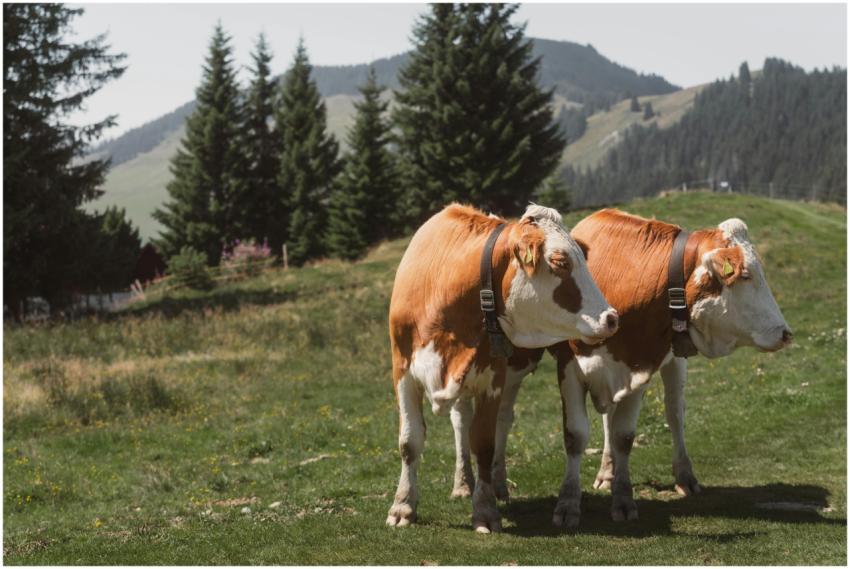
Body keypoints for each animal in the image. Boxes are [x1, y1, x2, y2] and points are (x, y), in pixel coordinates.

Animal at [386, 203, 620, 533]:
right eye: (560, 261)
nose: (611, 318)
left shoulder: (492, 378)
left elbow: (484, 443)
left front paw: (485, 510)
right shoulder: (402, 371)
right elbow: (410, 441)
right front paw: (403, 506)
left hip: (512, 374)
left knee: (502, 421)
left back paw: (496, 484)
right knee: (461, 419)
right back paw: (463, 483)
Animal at [451, 208, 792, 528]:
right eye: (745, 275)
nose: (786, 333)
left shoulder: (639, 367)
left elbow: (624, 436)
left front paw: (623, 498)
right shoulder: (569, 367)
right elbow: (575, 435)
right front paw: (568, 503)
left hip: (672, 364)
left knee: (672, 413)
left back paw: (668, 474)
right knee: (471, 416)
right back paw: (467, 483)